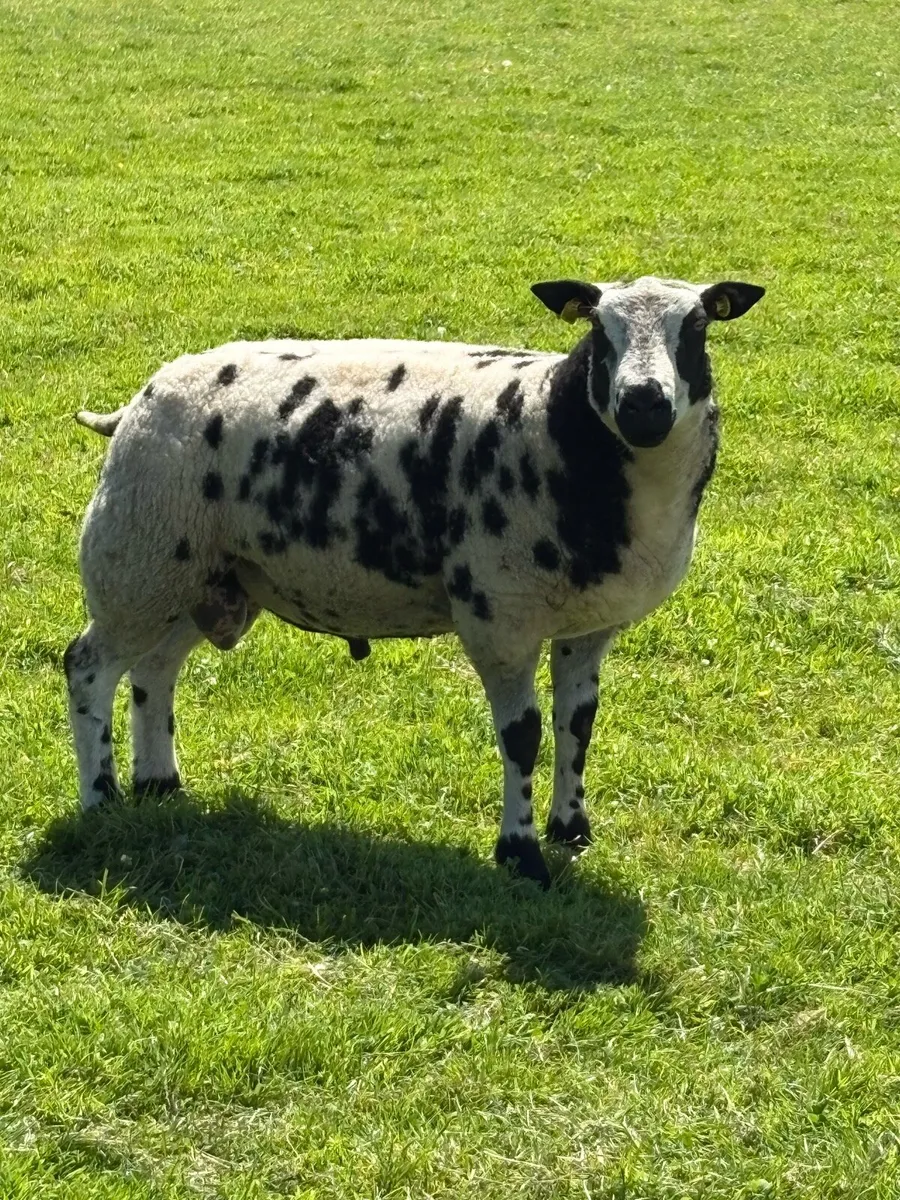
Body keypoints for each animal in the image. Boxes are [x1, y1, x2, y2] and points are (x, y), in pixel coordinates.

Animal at [65, 274, 764, 888]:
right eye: (598, 327)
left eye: (698, 326)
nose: (643, 404)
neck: (556, 425)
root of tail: (139, 401)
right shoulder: (498, 617)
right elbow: (523, 736)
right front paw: (520, 855)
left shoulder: (591, 626)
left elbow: (579, 724)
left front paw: (571, 828)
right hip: (138, 553)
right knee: (88, 666)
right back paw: (102, 798)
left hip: (195, 573)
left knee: (154, 669)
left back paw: (159, 785)